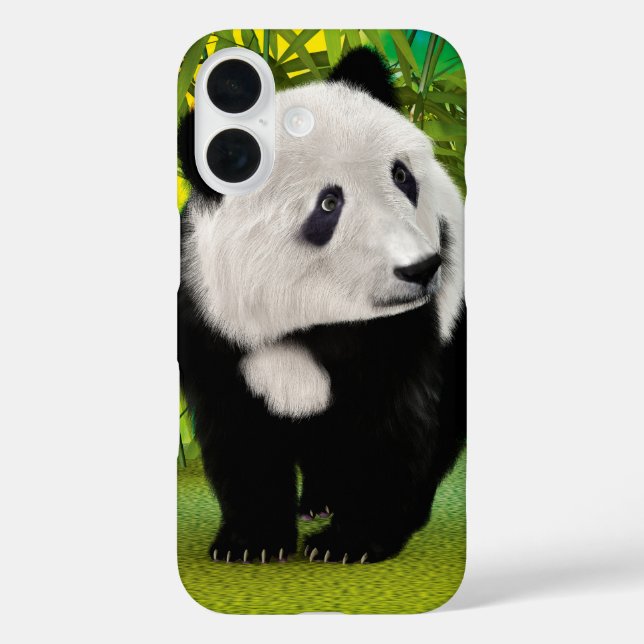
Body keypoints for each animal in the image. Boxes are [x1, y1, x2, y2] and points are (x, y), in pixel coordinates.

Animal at [178, 47, 465, 564]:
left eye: (401, 175)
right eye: (329, 204)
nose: (420, 270)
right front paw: (251, 543)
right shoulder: (210, 318)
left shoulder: (405, 326)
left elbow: (392, 422)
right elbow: (238, 428)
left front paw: (351, 542)